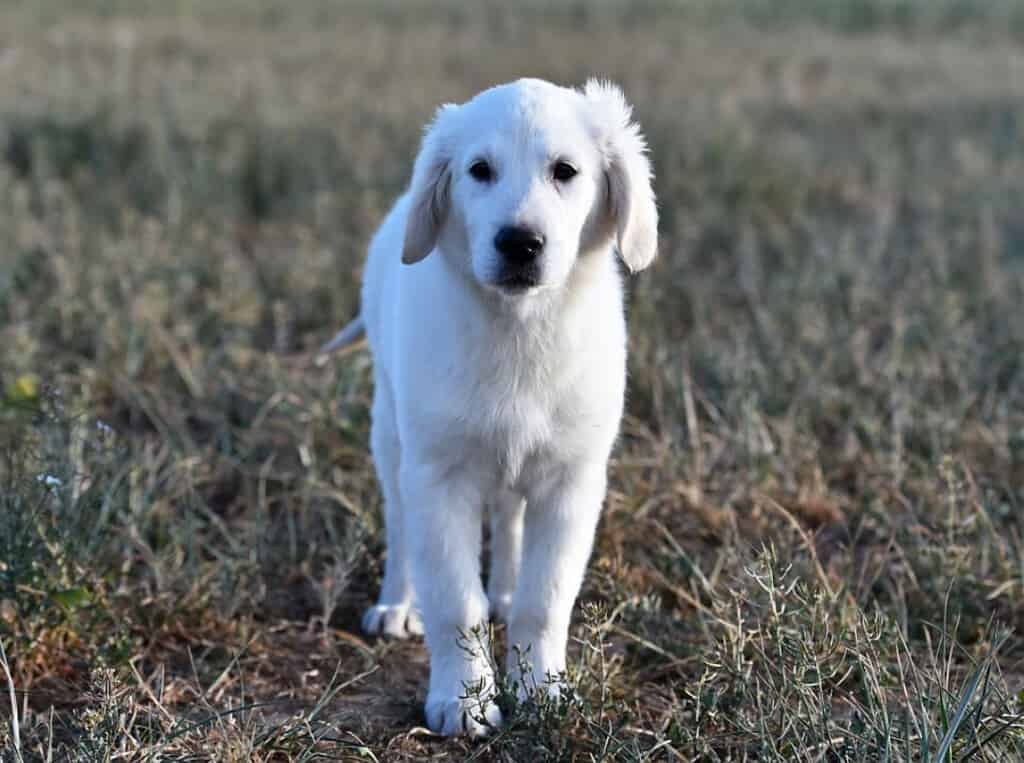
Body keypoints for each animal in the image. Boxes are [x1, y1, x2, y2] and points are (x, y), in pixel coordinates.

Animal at [319, 77, 655, 733]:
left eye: (565, 171)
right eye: (479, 171)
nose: (520, 242)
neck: (520, 330)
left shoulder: (573, 482)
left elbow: (543, 600)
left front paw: (540, 690)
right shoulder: (437, 475)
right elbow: (455, 601)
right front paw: (463, 701)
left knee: (508, 516)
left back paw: (502, 588)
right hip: (390, 436)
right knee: (400, 527)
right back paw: (396, 604)